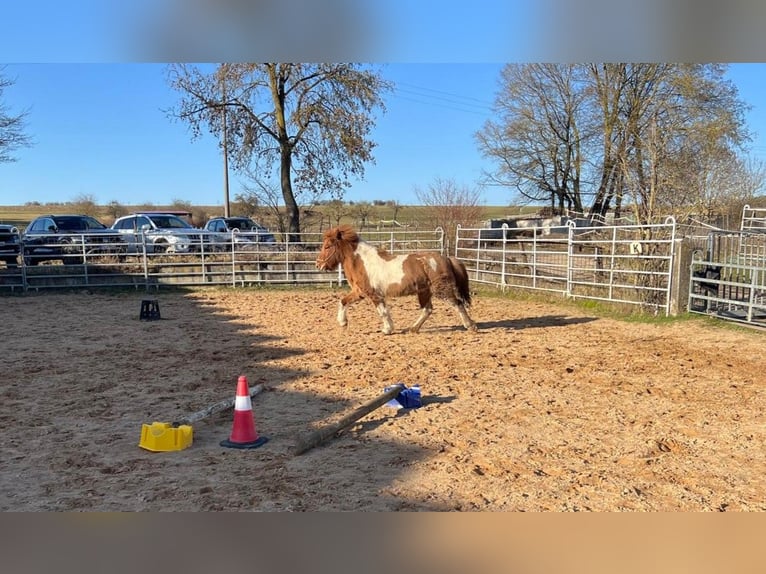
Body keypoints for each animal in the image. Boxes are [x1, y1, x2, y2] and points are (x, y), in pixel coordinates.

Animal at [316, 225, 477, 334]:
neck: (362, 262)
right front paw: (343, 323)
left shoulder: (374, 294)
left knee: (457, 303)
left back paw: (471, 326)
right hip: (424, 292)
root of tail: (447, 258)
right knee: (428, 309)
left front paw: (387, 330)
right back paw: (413, 328)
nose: (318, 264)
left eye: (327, 246)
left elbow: (382, 312)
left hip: (441, 290)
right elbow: (343, 301)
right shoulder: (360, 292)